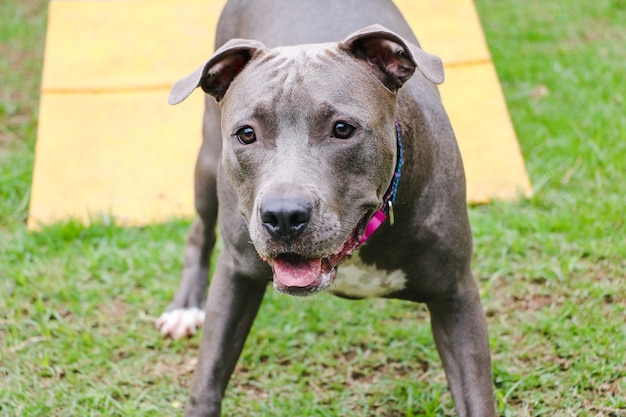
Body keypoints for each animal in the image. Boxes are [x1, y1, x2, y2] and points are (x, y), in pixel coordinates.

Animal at [158, 0, 494, 412]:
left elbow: (477, 397)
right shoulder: (236, 276)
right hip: (207, 164)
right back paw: (185, 306)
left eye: (342, 129)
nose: (284, 216)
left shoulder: (455, 296)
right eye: (247, 134)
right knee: (199, 230)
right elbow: (207, 380)